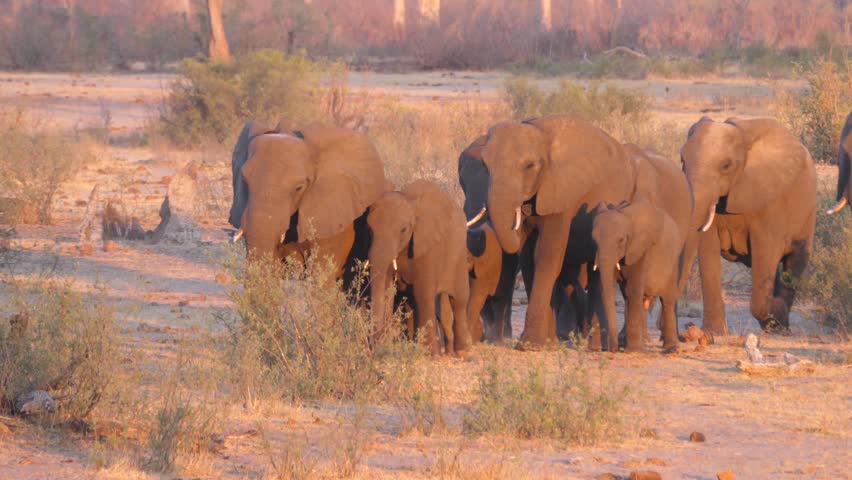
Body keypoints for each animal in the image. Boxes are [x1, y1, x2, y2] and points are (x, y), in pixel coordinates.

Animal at [367, 180, 473, 356]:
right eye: (369, 229)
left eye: (403, 229)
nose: (374, 349)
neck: (410, 201)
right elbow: (389, 290)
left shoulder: (429, 245)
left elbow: (423, 293)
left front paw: (431, 355)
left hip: (459, 252)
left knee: (459, 300)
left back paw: (462, 352)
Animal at [481, 115, 638, 349]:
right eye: (485, 165)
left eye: (529, 166)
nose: (521, 212)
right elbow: (529, 260)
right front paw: (546, 342)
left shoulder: (561, 191)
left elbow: (547, 254)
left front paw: (530, 345)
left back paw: (593, 345)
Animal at [592, 200, 684, 353]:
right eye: (594, 239)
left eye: (621, 240)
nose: (613, 349)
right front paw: (630, 347)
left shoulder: (641, 248)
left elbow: (634, 289)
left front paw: (633, 351)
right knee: (633, 298)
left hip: (673, 260)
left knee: (667, 300)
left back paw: (670, 349)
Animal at [682, 117, 816, 334]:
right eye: (682, 160)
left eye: (726, 165)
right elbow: (707, 249)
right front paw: (714, 333)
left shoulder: (770, 198)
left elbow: (767, 249)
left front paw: (776, 310)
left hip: (808, 211)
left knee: (795, 260)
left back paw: (780, 325)